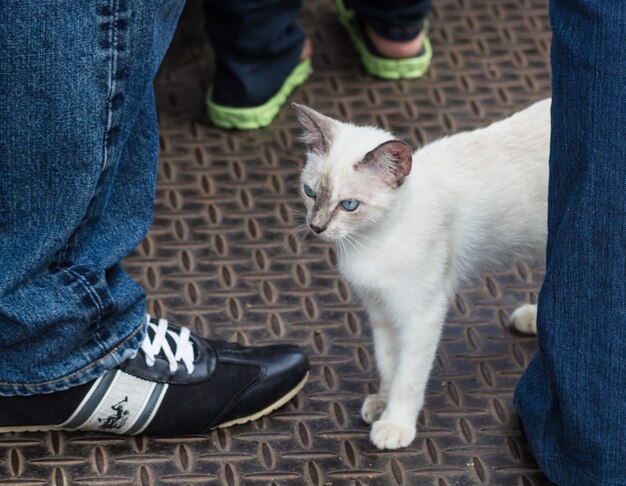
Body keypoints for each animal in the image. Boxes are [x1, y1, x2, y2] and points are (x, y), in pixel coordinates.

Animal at [294, 100, 544, 450]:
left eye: (349, 205)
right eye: (310, 192)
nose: (316, 227)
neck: (370, 241)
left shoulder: (420, 315)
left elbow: (408, 377)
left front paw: (394, 425)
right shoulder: (380, 311)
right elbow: (388, 364)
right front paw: (382, 403)